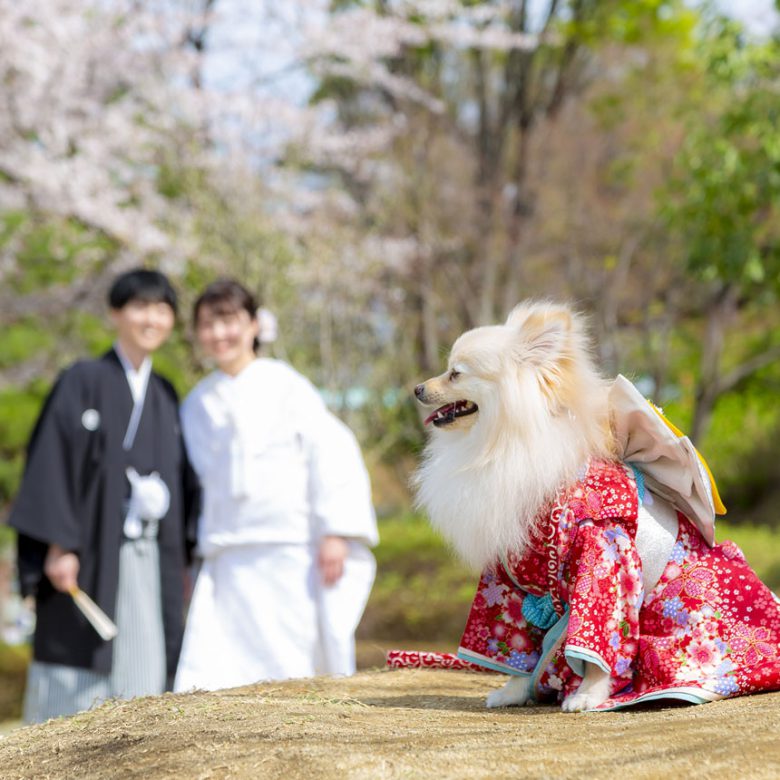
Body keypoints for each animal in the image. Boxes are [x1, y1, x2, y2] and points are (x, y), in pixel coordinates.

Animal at [414, 300, 780, 712]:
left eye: (455, 374)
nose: (417, 388)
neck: (502, 443)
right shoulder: (508, 574)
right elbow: (517, 643)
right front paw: (514, 691)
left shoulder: (605, 551)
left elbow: (599, 637)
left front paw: (589, 694)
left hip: (691, 604)